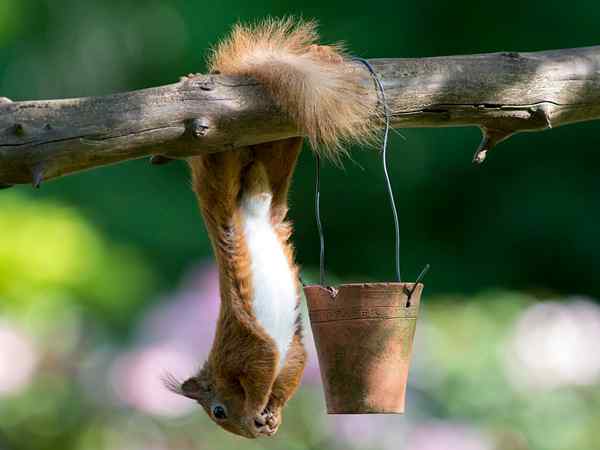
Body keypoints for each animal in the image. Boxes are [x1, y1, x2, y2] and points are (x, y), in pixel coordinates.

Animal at [166, 19, 376, 438]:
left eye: (218, 411)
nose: (248, 433)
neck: (223, 367)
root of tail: (251, 202)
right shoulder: (288, 351)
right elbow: (291, 370)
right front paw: (271, 414)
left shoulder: (248, 348)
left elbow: (264, 372)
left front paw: (258, 410)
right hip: (278, 141)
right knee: (278, 146)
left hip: (222, 159)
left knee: (221, 160)